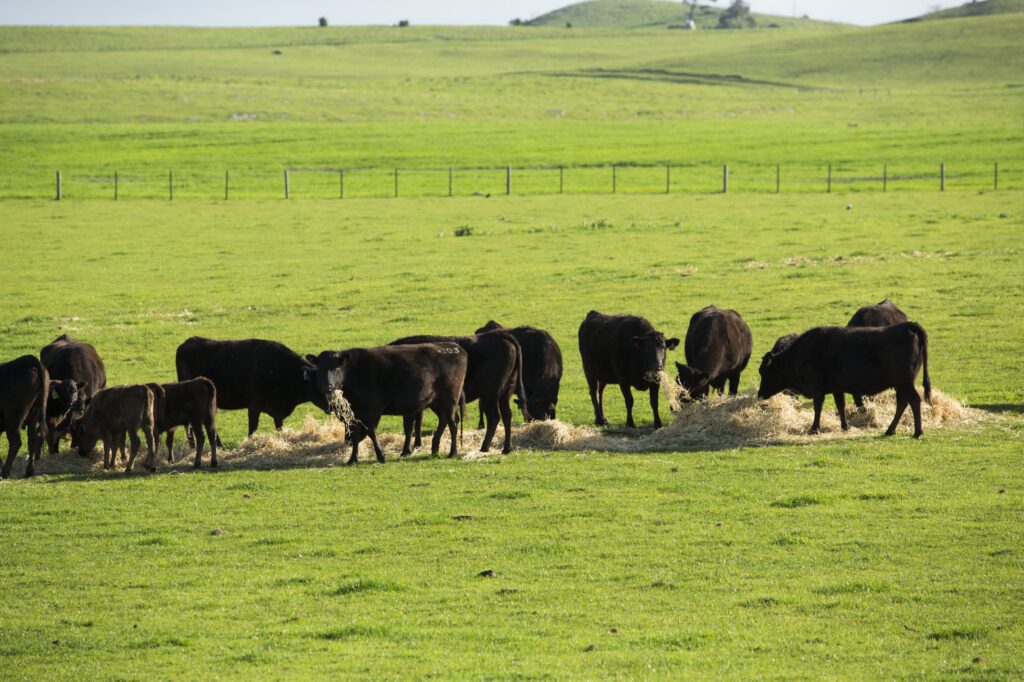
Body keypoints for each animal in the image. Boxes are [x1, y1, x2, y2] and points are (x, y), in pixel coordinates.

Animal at [176, 337, 330, 441]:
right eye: (320, 384)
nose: (331, 406)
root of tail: (188, 342)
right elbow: (253, 427)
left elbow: (279, 427)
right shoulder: (254, 405)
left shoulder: (277, 411)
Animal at [307, 343, 468, 464]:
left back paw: (452, 453)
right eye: (319, 368)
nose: (327, 386)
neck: (355, 372)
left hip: (450, 398)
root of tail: (453, 347)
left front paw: (381, 456)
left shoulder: (374, 407)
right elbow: (356, 434)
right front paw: (353, 459)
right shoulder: (356, 411)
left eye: (336, 367)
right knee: (444, 420)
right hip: (436, 401)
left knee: (452, 423)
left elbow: (371, 431)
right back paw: (434, 448)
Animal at [388, 332, 528, 454]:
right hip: (504, 394)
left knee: (494, 417)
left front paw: (407, 450)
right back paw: (506, 449)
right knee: (507, 416)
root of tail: (500, 335)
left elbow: (409, 425)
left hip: (490, 395)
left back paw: (484, 447)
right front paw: (417, 445)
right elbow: (418, 422)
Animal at [757, 322, 931, 438]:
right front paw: (845, 427)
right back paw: (890, 430)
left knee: (914, 400)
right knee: (903, 402)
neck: (800, 354)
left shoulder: (817, 388)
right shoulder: (836, 388)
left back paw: (917, 432)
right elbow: (840, 405)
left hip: (904, 382)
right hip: (901, 384)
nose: (759, 394)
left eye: (763, 372)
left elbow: (818, 407)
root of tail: (907, 326)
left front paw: (814, 429)